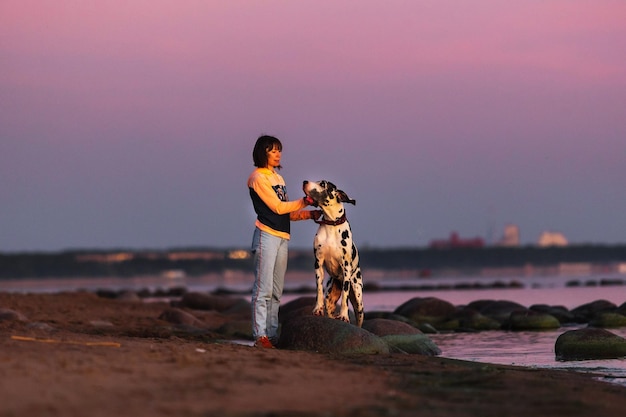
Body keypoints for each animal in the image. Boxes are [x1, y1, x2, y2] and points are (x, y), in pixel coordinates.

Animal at [302, 179, 364, 324]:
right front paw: (317, 309)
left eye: (323, 184)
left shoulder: (346, 267)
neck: (331, 224)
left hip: (358, 299)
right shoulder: (318, 263)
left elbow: (345, 298)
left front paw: (344, 315)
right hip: (330, 297)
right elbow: (318, 289)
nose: (305, 181)